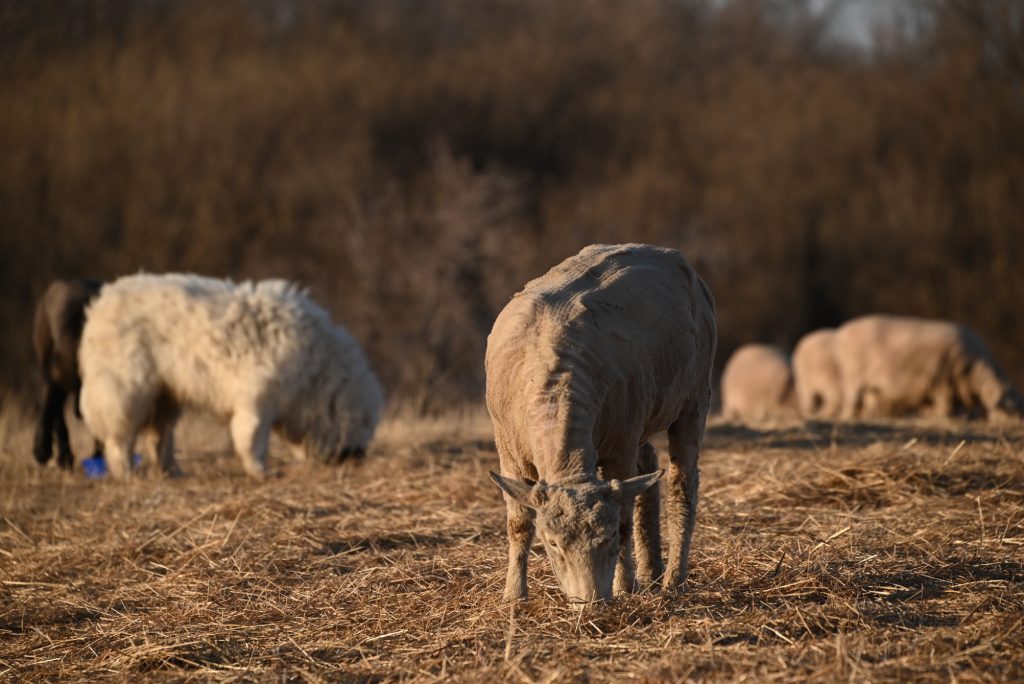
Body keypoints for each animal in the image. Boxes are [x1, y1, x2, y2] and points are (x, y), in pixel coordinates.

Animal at [78, 274, 385, 481]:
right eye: (364, 428)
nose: (359, 457)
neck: (317, 371)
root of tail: (101, 303)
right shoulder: (258, 400)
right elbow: (252, 440)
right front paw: (261, 472)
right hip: (128, 391)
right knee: (120, 439)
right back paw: (126, 473)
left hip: (167, 395)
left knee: (159, 437)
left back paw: (172, 472)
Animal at [483, 241, 716, 602]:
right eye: (552, 543)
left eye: (606, 540)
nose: (590, 602)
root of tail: (662, 251)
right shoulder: (508, 450)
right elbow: (518, 523)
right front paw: (513, 596)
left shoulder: (619, 448)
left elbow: (623, 520)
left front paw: (623, 588)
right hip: (640, 415)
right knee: (649, 469)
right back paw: (651, 572)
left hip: (693, 395)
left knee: (682, 484)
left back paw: (672, 580)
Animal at [835, 317, 1019, 421]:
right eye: (1007, 405)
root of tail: (844, 330)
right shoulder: (943, 379)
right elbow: (945, 406)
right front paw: (941, 417)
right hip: (853, 377)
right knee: (852, 401)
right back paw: (847, 418)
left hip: (872, 386)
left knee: (868, 403)